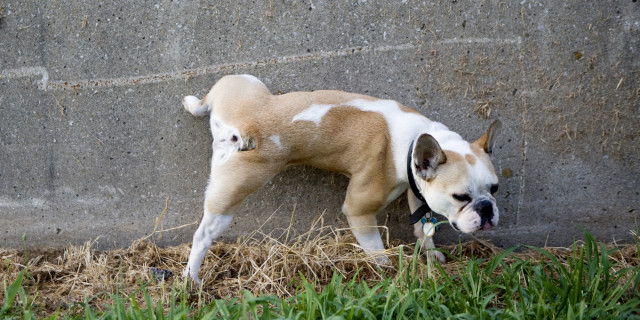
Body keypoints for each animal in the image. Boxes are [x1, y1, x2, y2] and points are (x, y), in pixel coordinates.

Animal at [180, 74, 500, 282]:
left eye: (494, 188)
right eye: (461, 197)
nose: (487, 209)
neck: (414, 142)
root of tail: (241, 128)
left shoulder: (417, 189)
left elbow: (423, 227)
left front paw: (430, 254)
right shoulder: (360, 210)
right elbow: (375, 248)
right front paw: (388, 270)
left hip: (243, 81)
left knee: (207, 98)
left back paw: (192, 102)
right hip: (233, 192)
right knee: (204, 234)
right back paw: (192, 277)